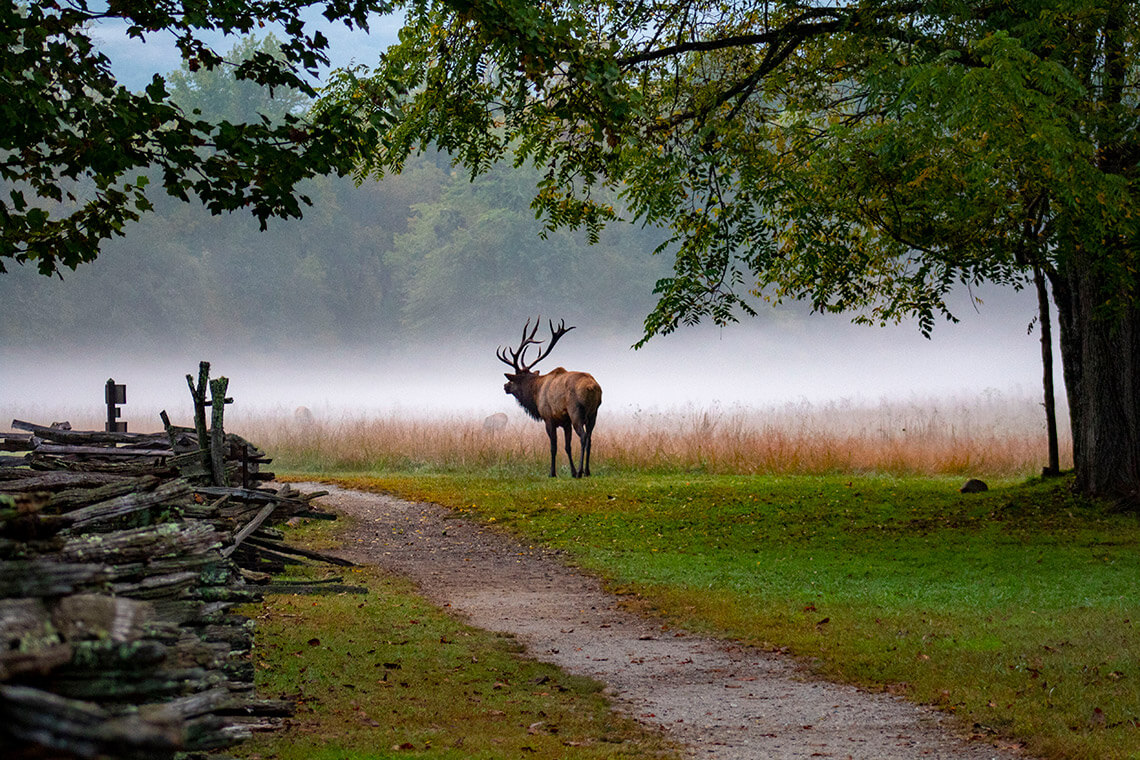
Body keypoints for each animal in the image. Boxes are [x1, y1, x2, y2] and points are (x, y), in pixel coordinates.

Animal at [497, 318, 602, 478]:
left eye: (513, 380)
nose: (505, 386)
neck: (535, 394)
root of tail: (593, 387)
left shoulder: (548, 418)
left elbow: (553, 447)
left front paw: (553, 472)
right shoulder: (565, 422)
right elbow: (567, 447)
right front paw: (571, 472)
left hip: (576, 411)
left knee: (583, 437)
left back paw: (580, 471)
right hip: (593, 413)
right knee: (590, 438)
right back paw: (587, 471)